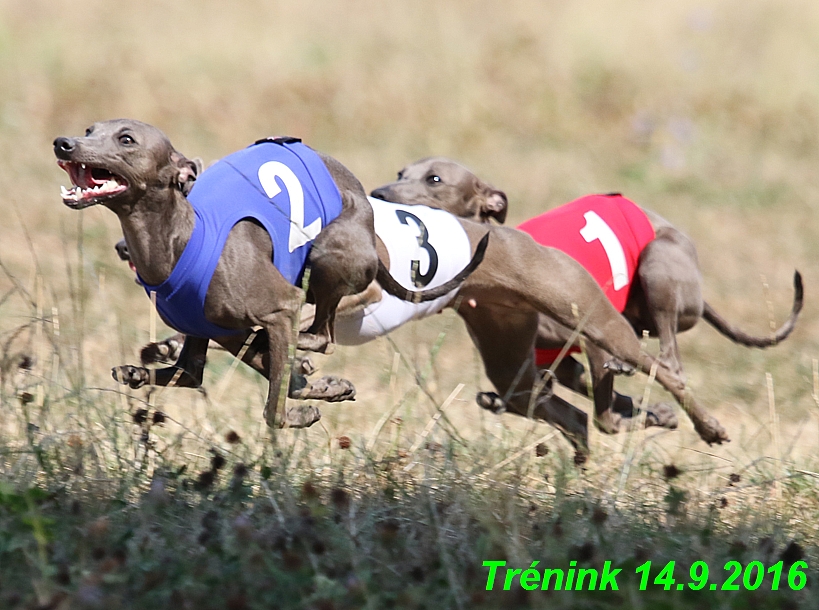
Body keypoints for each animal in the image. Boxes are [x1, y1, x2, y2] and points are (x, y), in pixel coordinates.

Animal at [370, 157, 800, 432]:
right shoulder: (556, 363)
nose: (380, 192)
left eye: (435, 180)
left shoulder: (588, 338)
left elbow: (605, 415)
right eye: (400, 172)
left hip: (658, 265)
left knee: (669, 360)